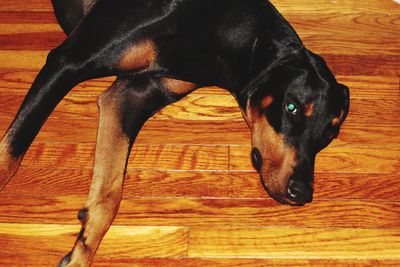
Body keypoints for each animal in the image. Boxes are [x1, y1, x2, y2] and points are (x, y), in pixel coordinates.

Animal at [0, 0, 348, 266]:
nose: (301, 192)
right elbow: (11, 155)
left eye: (329, 135)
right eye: (291, 107)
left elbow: (110, 193)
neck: (221, 26)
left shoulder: (129, 98)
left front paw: (81, 251)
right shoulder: (68, 62)